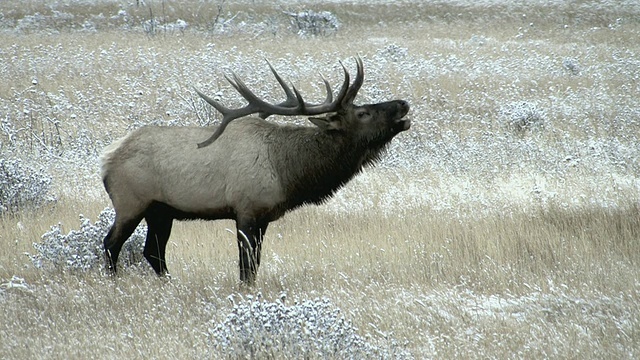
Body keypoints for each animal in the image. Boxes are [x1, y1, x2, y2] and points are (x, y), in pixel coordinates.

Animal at [100, 56, 410, 282]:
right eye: (363, 113)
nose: (403, 104)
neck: (289, 171)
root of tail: (106, 159)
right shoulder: (246, 210)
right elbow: (246, 268)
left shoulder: (264, 217)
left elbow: (255, 265)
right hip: (131, 203)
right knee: (111, 244)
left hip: (161, 211)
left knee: (153, 252)